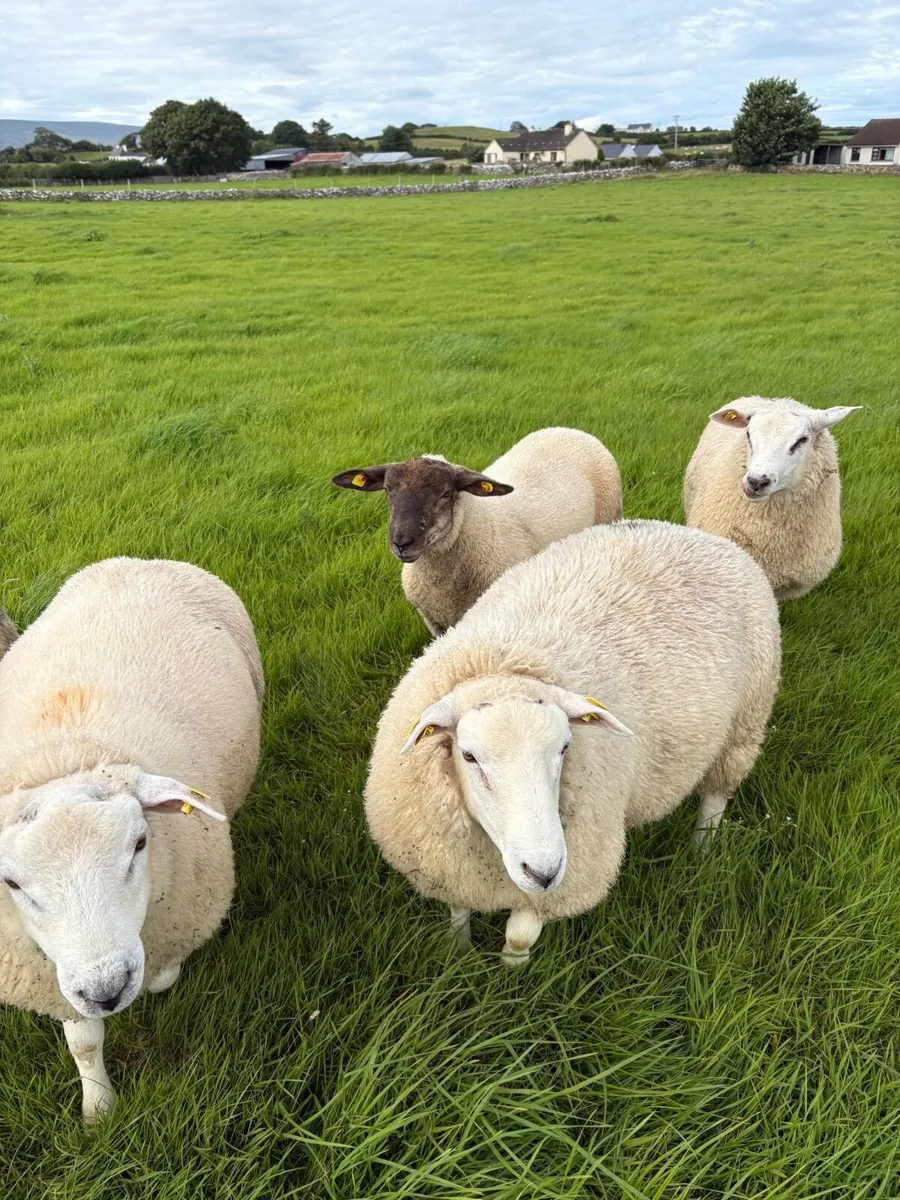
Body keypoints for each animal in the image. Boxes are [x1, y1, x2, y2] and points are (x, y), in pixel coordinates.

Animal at [0, 557, 263, 1121]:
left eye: (140, 844)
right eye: (11, 883)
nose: (107, 989)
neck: (61, 754)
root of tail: (139, 560)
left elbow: (163, 974)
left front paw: (163, 977)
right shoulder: (59, 977)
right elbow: (84, 1043)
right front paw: (98, 1110)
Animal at [364, 519, 780, 966]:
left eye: (565, 749)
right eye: (469, 756)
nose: (542, 872)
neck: (504, 662)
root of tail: (695, 533)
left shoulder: (569, 877)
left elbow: (519, 937)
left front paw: (509, 972)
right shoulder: (448, 865)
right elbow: (459, 912)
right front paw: (459, 954)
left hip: (744, 723)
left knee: (716, 795)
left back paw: (701, 848)